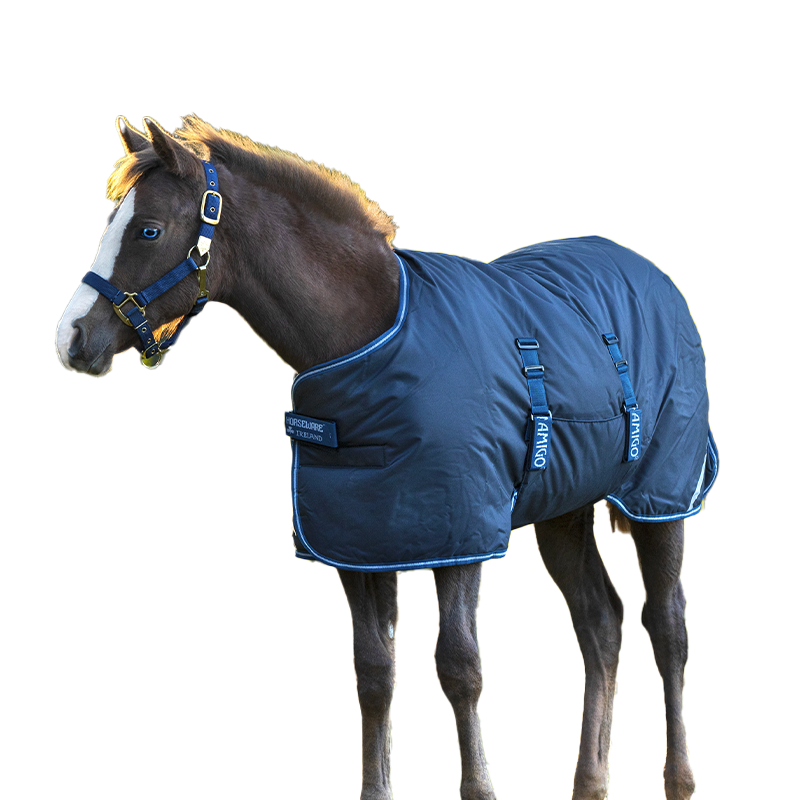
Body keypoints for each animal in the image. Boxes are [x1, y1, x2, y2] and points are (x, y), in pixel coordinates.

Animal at [56, 115, 717, 800]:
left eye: (149, 229)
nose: (71, 339)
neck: (372, 341)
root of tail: (651, 276)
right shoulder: (360, 542)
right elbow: (373, 673)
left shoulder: (459, 536)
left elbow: (459, 667)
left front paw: (477, 788)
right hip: (564, 511)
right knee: (600, 625)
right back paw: (589, 781)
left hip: (660, 502)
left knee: (665, 630)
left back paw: (679, 778)